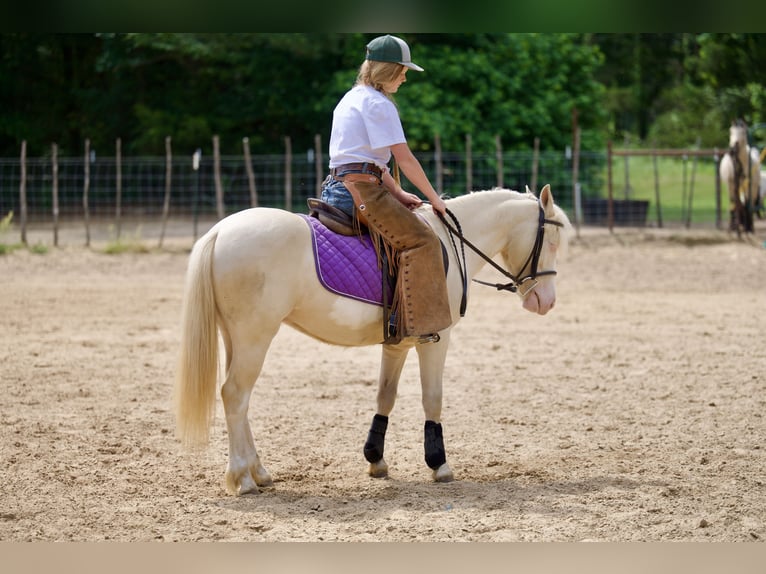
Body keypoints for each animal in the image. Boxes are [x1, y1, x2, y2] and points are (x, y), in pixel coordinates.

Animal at [174, 184, 571, 495]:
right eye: (551, 242)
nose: (546, 302)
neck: (449, 242)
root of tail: (220, 232)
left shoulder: (396, 344)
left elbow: (385, 396)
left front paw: (375, 460)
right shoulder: (436, 339)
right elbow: (433, 398)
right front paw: (438, 464)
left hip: (236, 338)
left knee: (240, 401)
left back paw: (259, 472)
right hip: (254, 337)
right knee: (235, 395)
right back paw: (242, 478)